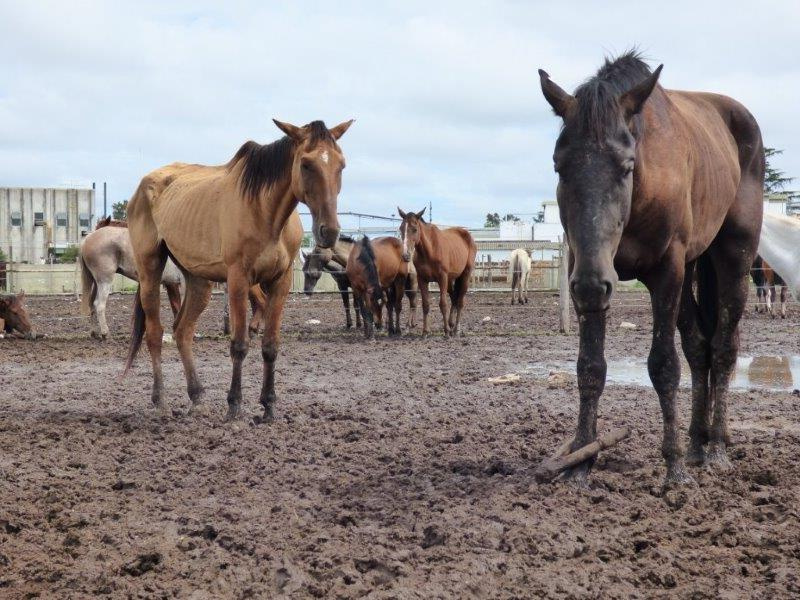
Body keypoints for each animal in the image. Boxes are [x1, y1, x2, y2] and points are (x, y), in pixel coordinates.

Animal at [124, 119, 350, 422]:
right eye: (306, 164)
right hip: (150, 269)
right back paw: (160, 400)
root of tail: (144, 186)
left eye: (341, 164)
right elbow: (240, 344)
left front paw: (269, 406)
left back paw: (197, 396)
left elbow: (270, 345)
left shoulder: (280, 283)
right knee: (155, 334)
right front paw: (234, 405)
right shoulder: (239, 280)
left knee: (183, 332)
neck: (267, 214)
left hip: (199, 280)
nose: (330, 231)